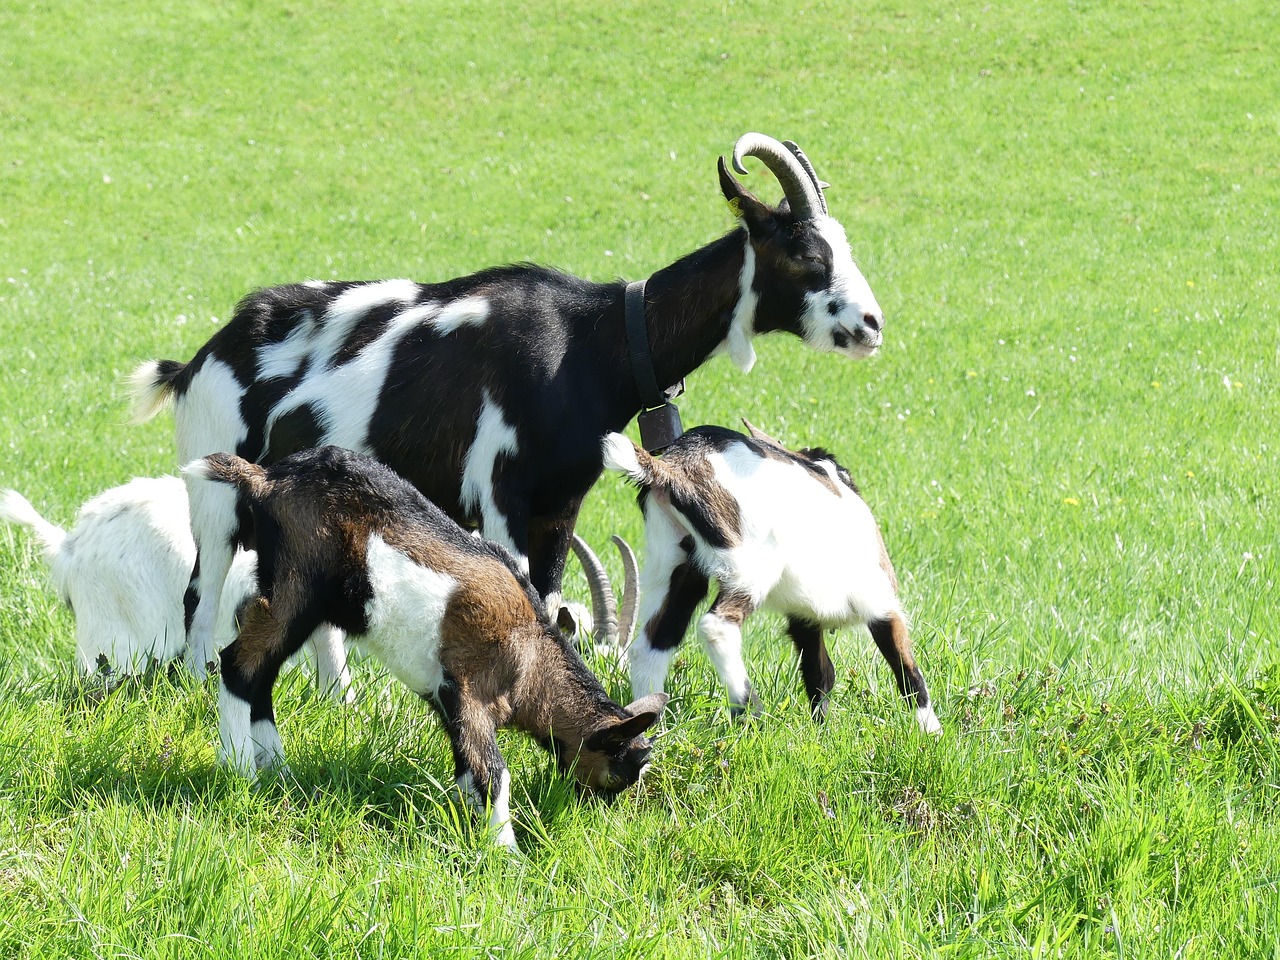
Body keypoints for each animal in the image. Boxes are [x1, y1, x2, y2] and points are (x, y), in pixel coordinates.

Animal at [132, 131, 890, 680]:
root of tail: (199, 360)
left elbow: (549, 600)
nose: (870, 324)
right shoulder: (501, 495)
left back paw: (337, 696)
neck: (592, 342)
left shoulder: (561, 505)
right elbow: (515, 593)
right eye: (804, 253)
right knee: (202, 594)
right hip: (215, 493)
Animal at [189, 448, 670, 855]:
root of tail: (265, 480)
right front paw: (508, 854)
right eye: (619, 771)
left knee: (260, 676)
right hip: (297, 587)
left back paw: (276, 768)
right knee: (239, 665)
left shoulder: (447, 700)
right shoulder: (469, 689)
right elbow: (494, 772)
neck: (531, 655)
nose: (593, 813)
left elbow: (467, 769)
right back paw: (241, 770)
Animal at [599, 422, 942, 737]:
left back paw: (649, 729)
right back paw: (748, 710)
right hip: (749, 565)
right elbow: (906, 669)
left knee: (651, 645)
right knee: (716, 626)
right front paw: (932, 735)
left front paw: (821, 734)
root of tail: (671, 469)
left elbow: (820, 674)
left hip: (674, 566)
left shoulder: (805, 617)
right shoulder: (880, 602)